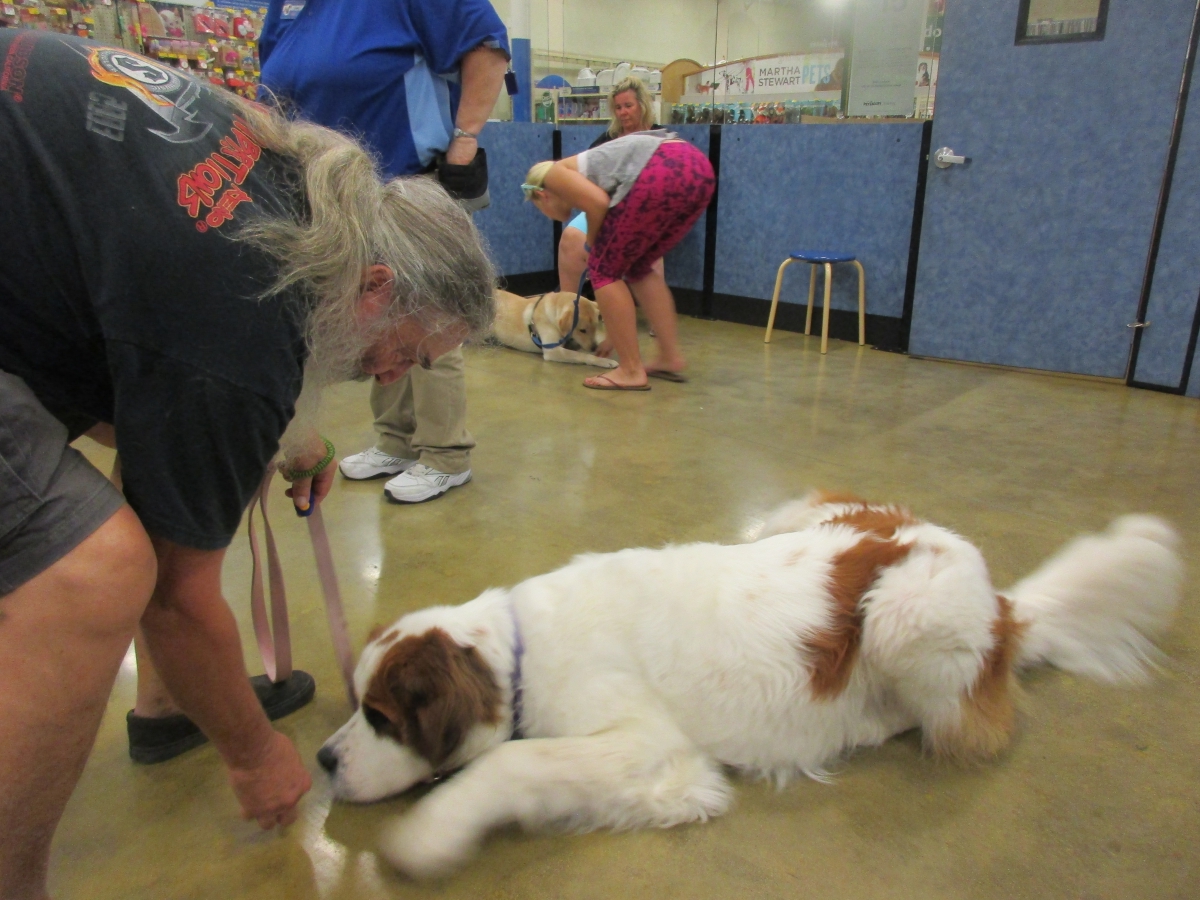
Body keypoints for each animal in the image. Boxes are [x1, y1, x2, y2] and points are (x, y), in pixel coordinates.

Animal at [316, 491, 1182, 878]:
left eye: (381, 715)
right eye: (358, 708)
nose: (323, 760)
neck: (520, 654)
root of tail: (1006, 606)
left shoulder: (637, 733)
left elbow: (510, 761)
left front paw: (432, 832)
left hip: (900, 613)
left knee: (964, 720)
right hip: (790, 515)